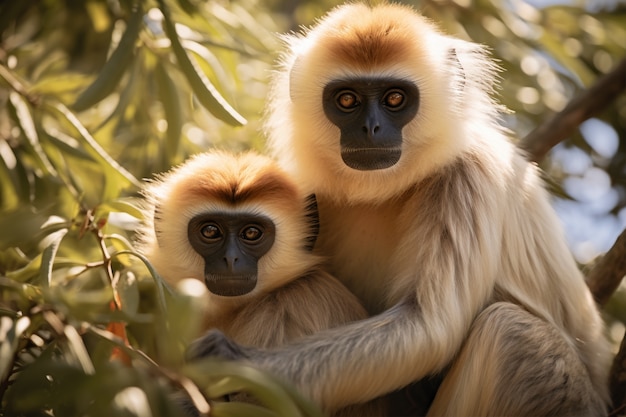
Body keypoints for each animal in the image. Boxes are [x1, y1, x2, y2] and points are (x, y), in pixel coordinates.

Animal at [188, 2, 608, 412]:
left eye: (394, 98)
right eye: (347, 100)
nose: (370, 129)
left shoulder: (470, 173)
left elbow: (429, 328)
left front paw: (227, 364)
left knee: (510, 330)